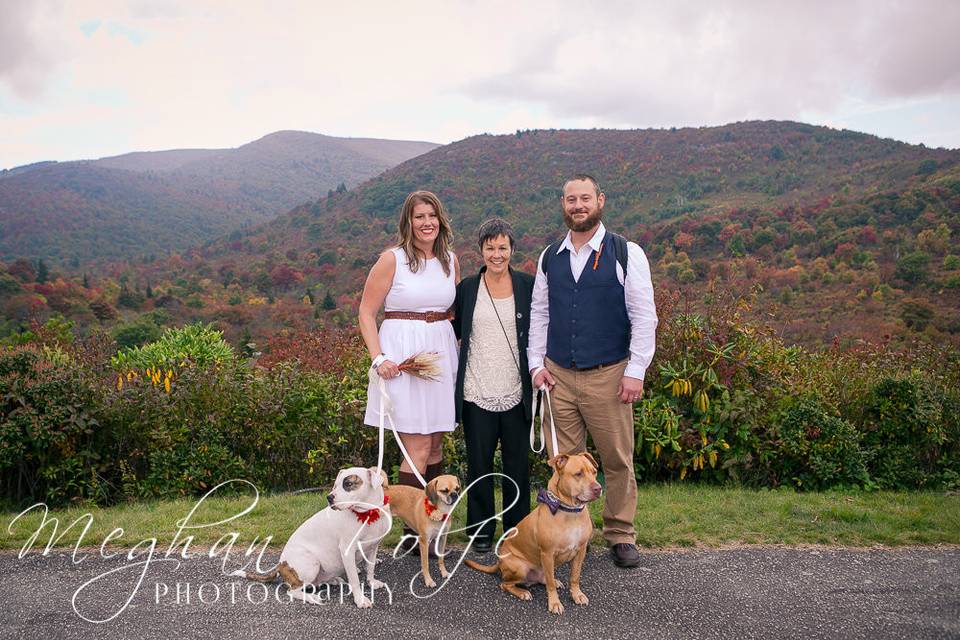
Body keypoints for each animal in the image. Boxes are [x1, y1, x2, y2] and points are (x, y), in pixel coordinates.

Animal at [231, 468, 392, 608]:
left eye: (348, 484)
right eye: (335, 485)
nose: (329, 497)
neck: (368, 512)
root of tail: (280, 564)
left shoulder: (373, 546)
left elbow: (370, 567)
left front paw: (371, 582)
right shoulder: (347, 550)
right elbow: (354, 579)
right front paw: (360, 600)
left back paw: (332, 580)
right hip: (311, 563)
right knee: (292, 591)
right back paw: (311, 597)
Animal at [464, 450, 600, 616]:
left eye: (594, 472)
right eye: (578, 474)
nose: (598, 488)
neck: (570, 511)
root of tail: (499, 562)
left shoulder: (580, 551)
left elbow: (575, 576)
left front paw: (577, 595)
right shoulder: (547, 553)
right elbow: (550, 586)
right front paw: (554, 603)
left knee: (545, 578)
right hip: (520, 567)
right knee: (505, 584)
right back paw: (522, 592)